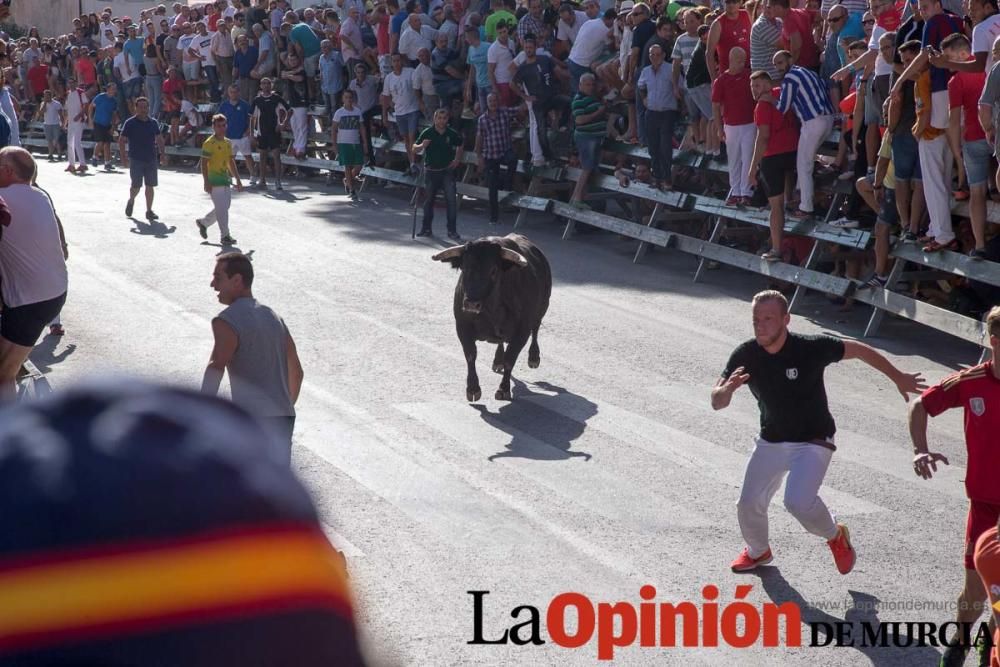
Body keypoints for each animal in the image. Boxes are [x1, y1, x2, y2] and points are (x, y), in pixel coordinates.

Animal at [432, 235, 552, 402]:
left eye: (493, 270)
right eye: (464, 268)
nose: (471, 303)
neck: (491, 309)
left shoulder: (521, 332)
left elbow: (510, 359)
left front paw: (503, 389)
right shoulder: (462, 327)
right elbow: (470, 355)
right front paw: (473, 389)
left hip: (542, 307)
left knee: (536, 329)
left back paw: (533, 357)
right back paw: (497, 361)